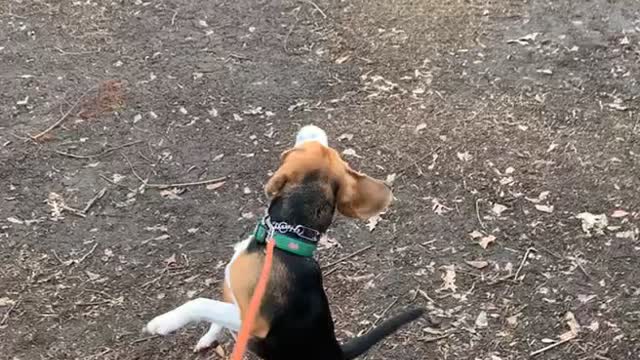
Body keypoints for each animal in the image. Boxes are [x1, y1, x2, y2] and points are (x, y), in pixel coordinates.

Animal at [145, 125, 424, 358]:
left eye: (314, 146)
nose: (315, 126)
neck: (285, 238)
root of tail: (338, 352)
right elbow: (216, 315)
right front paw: (209, 336)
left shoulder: (252, 320)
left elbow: (201, 302)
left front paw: (164, 322)